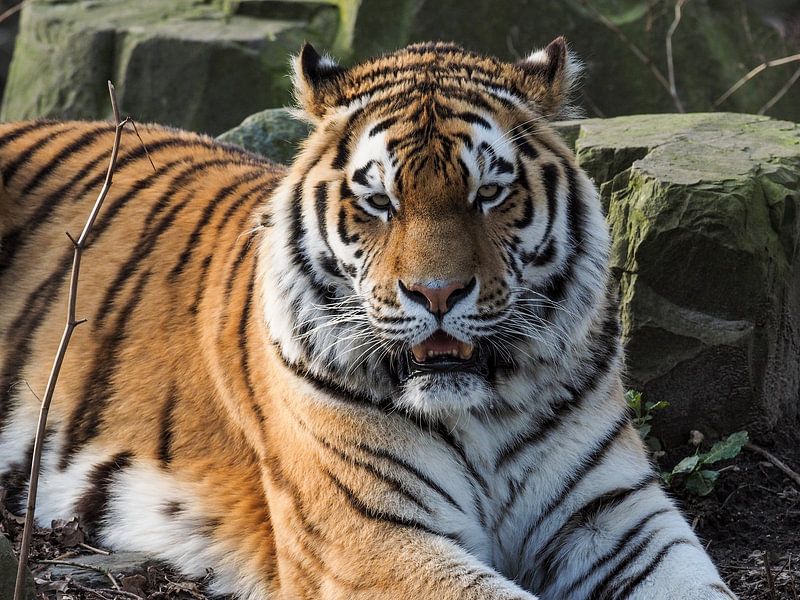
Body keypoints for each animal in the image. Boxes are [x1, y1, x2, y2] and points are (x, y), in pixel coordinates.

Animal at [0, 38, 737, 599]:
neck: (483, 411)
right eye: (380, 201)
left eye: (489, 193)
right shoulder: (366, 536)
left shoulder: (615, 512)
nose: (438, 294)